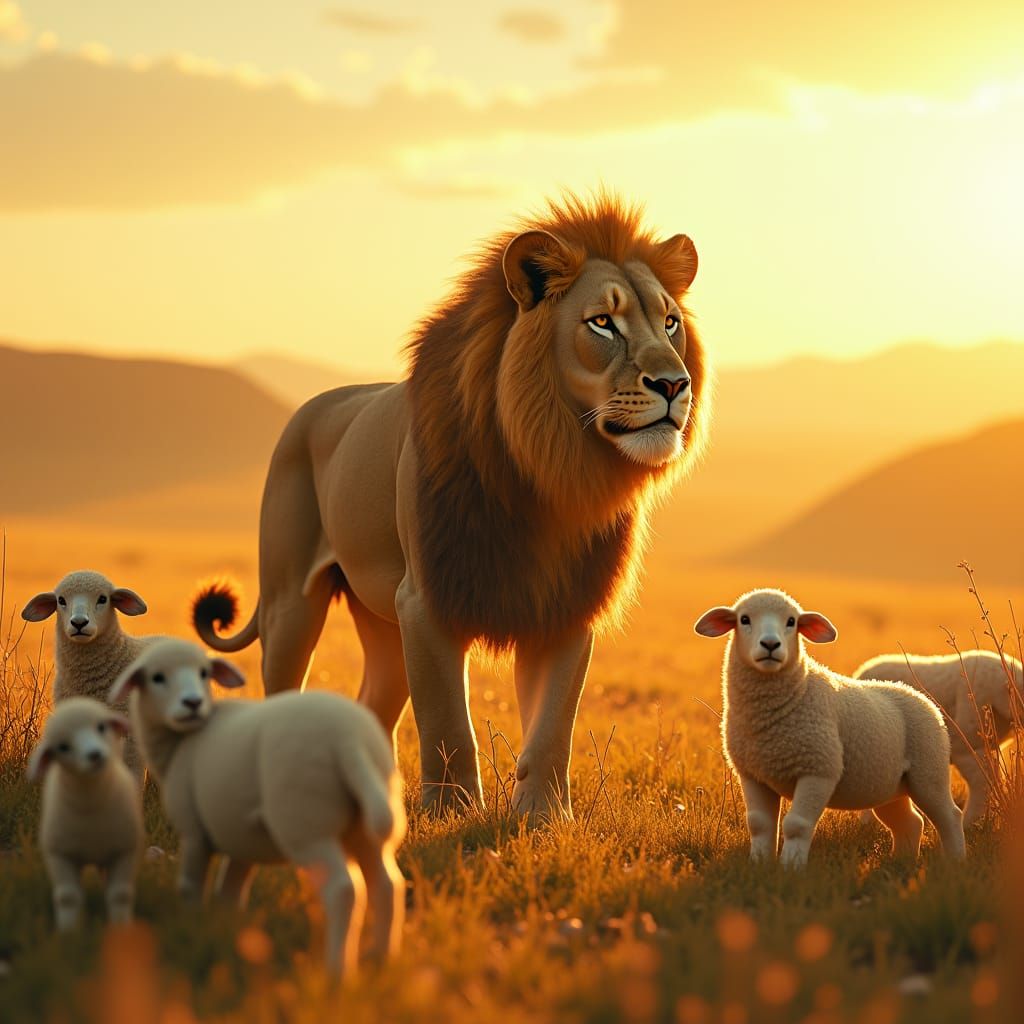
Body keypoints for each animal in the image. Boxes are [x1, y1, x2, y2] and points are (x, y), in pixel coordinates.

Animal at [109, 638, 406, 980]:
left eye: (204, 673)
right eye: (157, 677)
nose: (193, 703)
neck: (179, 744)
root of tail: (349, 741)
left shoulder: (195, 831)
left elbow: (190, 886)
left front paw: (193, 924)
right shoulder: (240, 835)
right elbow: (230, 889)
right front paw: (226, 929)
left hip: (306, 825)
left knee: (343, 889)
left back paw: (336, 970)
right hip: (363, 828)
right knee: (387, 885)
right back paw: (381, 957)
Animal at [193, 192, 710, 821]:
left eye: (670, 322)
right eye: (602, 323)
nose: (674, 385)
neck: (551, 473)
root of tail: (311, 408)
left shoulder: (565, 606)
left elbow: (553, 724)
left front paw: (542, 816)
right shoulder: (427, 600)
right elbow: (447, 724)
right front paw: (453, 813)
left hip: (380, 622)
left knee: (374, 699)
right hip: (291, 604)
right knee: (285, 686)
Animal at [694, 588, 966, 868]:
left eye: (791, 622)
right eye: (744, 619)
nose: (770, 645)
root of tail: (922, 699)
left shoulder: (819, 770)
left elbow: (796, 825)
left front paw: (791, 867)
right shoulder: (753, 774)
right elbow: (759, 825)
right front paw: (759, 864)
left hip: (929, 773)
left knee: (949, 816)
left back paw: (955, 861)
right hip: (889, 787)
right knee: (910, 823)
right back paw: (902, 861)